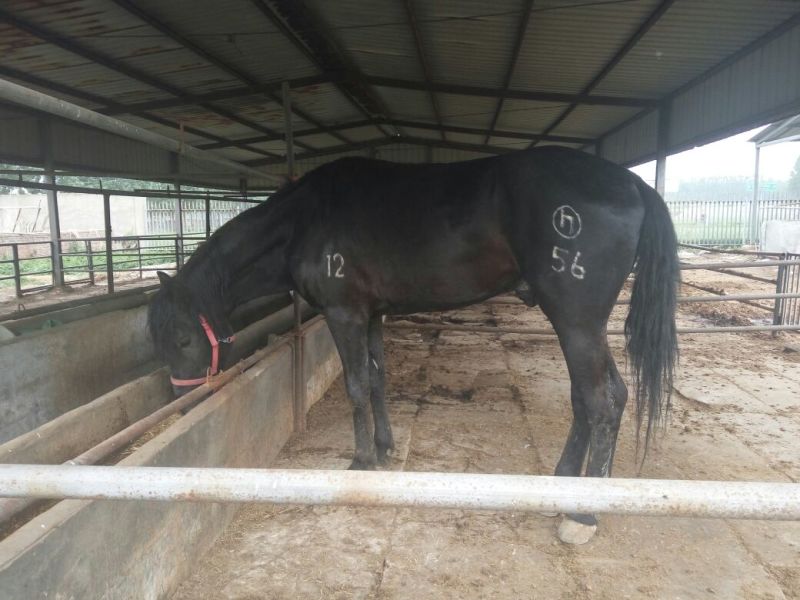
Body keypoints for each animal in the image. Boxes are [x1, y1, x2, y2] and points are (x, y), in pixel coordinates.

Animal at [147, 146, 679, 544]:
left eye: (183, 337)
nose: (180, 400)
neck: (306, 218)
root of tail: (633, 184)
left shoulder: (344, 314)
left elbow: (357, 386)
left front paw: (362, 460)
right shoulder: (372, 315)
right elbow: (378, 380)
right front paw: (384, 448)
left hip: (576, 321)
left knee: (602, 401)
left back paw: (582, 515)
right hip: (581, 327)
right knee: (592, 400)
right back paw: (561, 486)